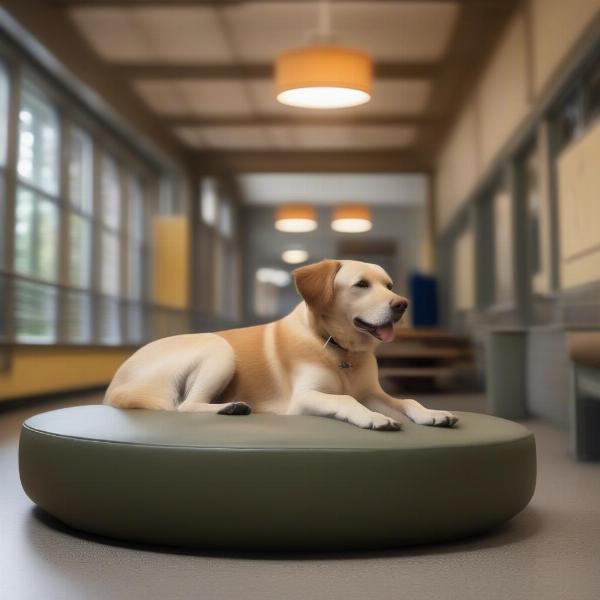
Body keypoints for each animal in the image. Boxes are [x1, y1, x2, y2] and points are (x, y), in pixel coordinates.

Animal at [104, 258, 460, 432]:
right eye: (361, 285)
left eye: (389, 285)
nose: (402, 304)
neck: (336, 348)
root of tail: (116, 383)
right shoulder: (303, 398)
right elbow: (345, 399)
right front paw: (372, 418)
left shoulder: (373, 393)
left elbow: (408, 400)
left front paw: (432, 413)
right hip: (218, 348)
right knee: (184, 406)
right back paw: (232, 407)